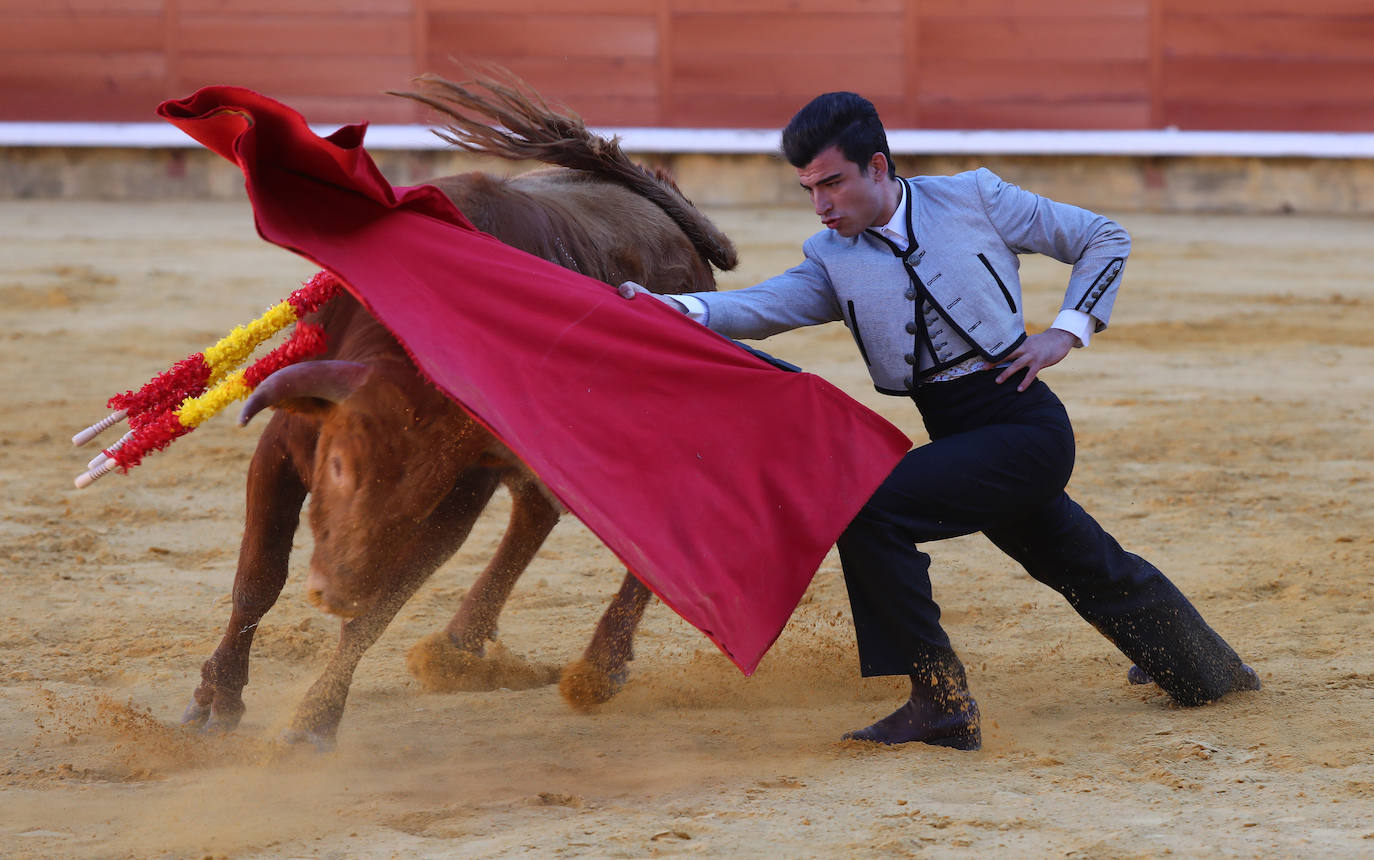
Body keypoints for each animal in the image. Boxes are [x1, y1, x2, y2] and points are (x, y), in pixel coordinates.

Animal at [182, 76, 741, 747]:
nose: (335, 591)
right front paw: (216, 699)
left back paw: (596, 669)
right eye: (337, 468)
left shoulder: (459, 488)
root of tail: (683, 239)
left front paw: (315, 720)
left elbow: (379, 609)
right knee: (536, 511)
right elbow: (257, 578)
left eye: (415, 497)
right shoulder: (284, 444)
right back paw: (456, 649)